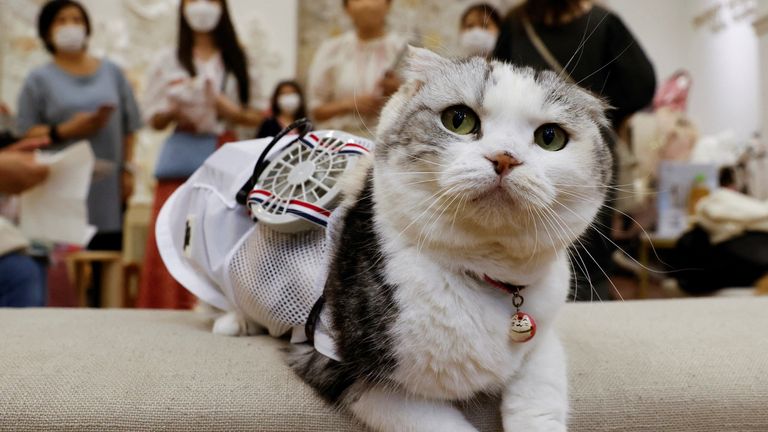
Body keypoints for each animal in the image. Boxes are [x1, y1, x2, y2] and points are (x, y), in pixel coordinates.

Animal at [286, 47, 612, 432]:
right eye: (458, 119)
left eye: (550, 137)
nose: (505, 157)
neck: (487, 278)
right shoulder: (344, 369)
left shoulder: (542, 339)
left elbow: (540, 396)